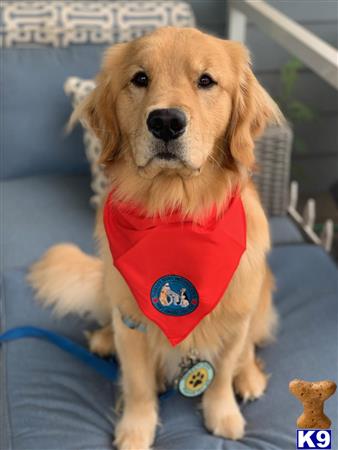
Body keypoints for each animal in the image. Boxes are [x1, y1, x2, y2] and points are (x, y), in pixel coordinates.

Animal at [28, 26, 282, 448]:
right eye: (140, 78)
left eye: (206, 81)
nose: (165, 121)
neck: (175, 212)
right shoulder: (132, 323)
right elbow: (138, 384)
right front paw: (136, 429)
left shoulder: (235, 318)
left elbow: (222, 374)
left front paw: (223, 414)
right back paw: (103, 340)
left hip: (260, 293)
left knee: (249, 348)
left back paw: (249, 377)